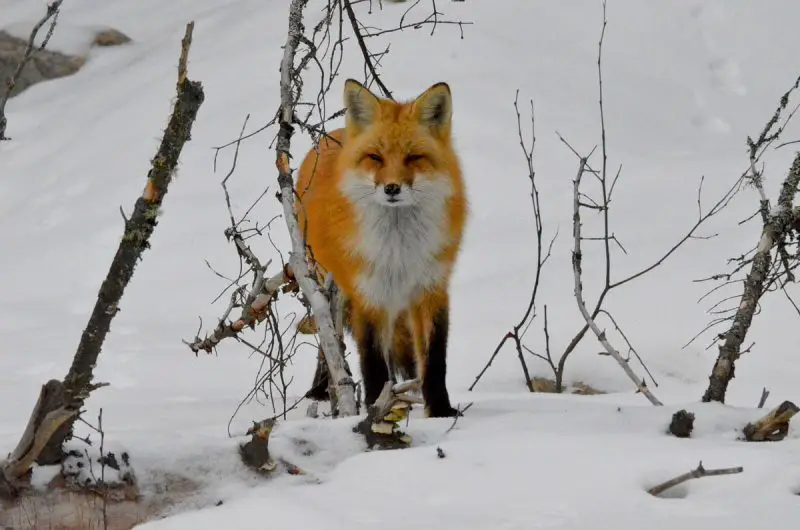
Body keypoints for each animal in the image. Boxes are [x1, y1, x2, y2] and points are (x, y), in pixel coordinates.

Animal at [295, 79, 468, 418]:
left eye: (413, 158)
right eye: (375, 158)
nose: (391, 188)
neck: (400, 249)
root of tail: (334, 134)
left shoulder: (431, 288)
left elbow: (434, 358)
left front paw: (440, 410)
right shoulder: (369, 294)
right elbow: (373, 362)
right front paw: (377, 410)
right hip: (330, 286)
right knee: (328, 339)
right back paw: (321, 389)